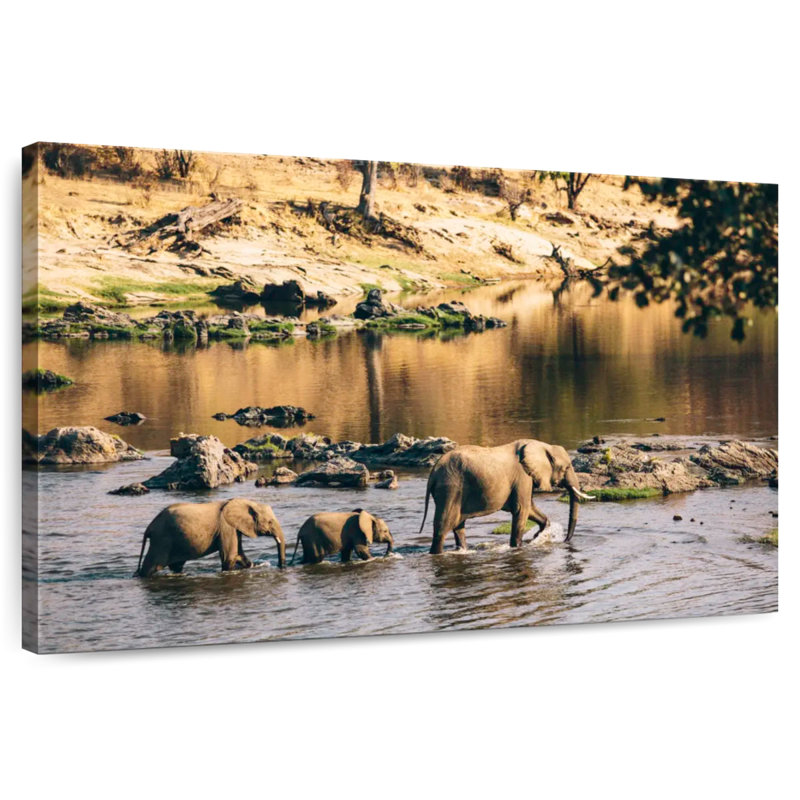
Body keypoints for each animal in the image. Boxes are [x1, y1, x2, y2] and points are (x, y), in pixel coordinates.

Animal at [135, 498, 286, 577]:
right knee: (151, 566)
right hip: (161, 540)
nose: (281, 566)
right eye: (270, 522)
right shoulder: (226, 527)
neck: (247, 502)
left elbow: (239, 554)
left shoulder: (234, 528)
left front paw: (251, 565)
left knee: (176, 566)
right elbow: (229, 557)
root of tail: (150, 526)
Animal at [419, 439, 595, 553]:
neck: (542, 445)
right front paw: (518, 547)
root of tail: (434, 471)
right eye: (567, 467)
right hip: (450, 489)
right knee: (443, 527)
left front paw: (539, 536)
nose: (565, 541)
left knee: (458, 525)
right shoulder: (523, 477)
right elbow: (522, 510)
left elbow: (530, 508)